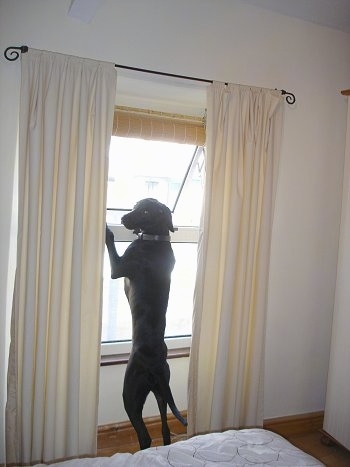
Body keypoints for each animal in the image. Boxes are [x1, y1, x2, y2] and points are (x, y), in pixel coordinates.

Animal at [105, 197, 187, 450]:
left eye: (146, 211)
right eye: (135, 206)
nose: (123, 218)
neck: (156, 238)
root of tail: (156, 364)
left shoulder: (118, 268)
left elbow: (111, 244)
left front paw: (108, 229)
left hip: (131, 393)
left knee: (145, 435)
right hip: (161, 391)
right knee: (165, 428)